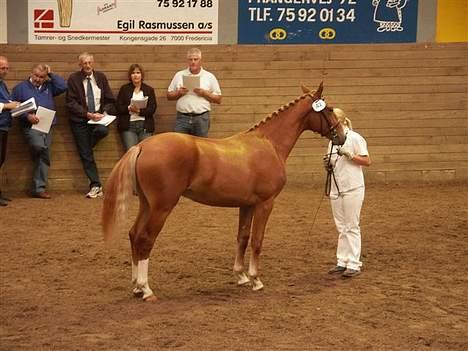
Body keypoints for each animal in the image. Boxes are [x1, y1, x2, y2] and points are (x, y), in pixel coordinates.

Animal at [103, 83, 344, 302]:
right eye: (330, 109)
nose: (341, 136)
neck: (269, 144)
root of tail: (142, 146)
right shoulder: (266, 203)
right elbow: (257, 240)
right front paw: (256, 279)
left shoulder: (246, 205)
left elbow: (242, 238)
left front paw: (241, 276)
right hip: (162, 207)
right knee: (145, 239)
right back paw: (146, 289)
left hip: (146, 204)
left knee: (134, 235)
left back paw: (136, 287)